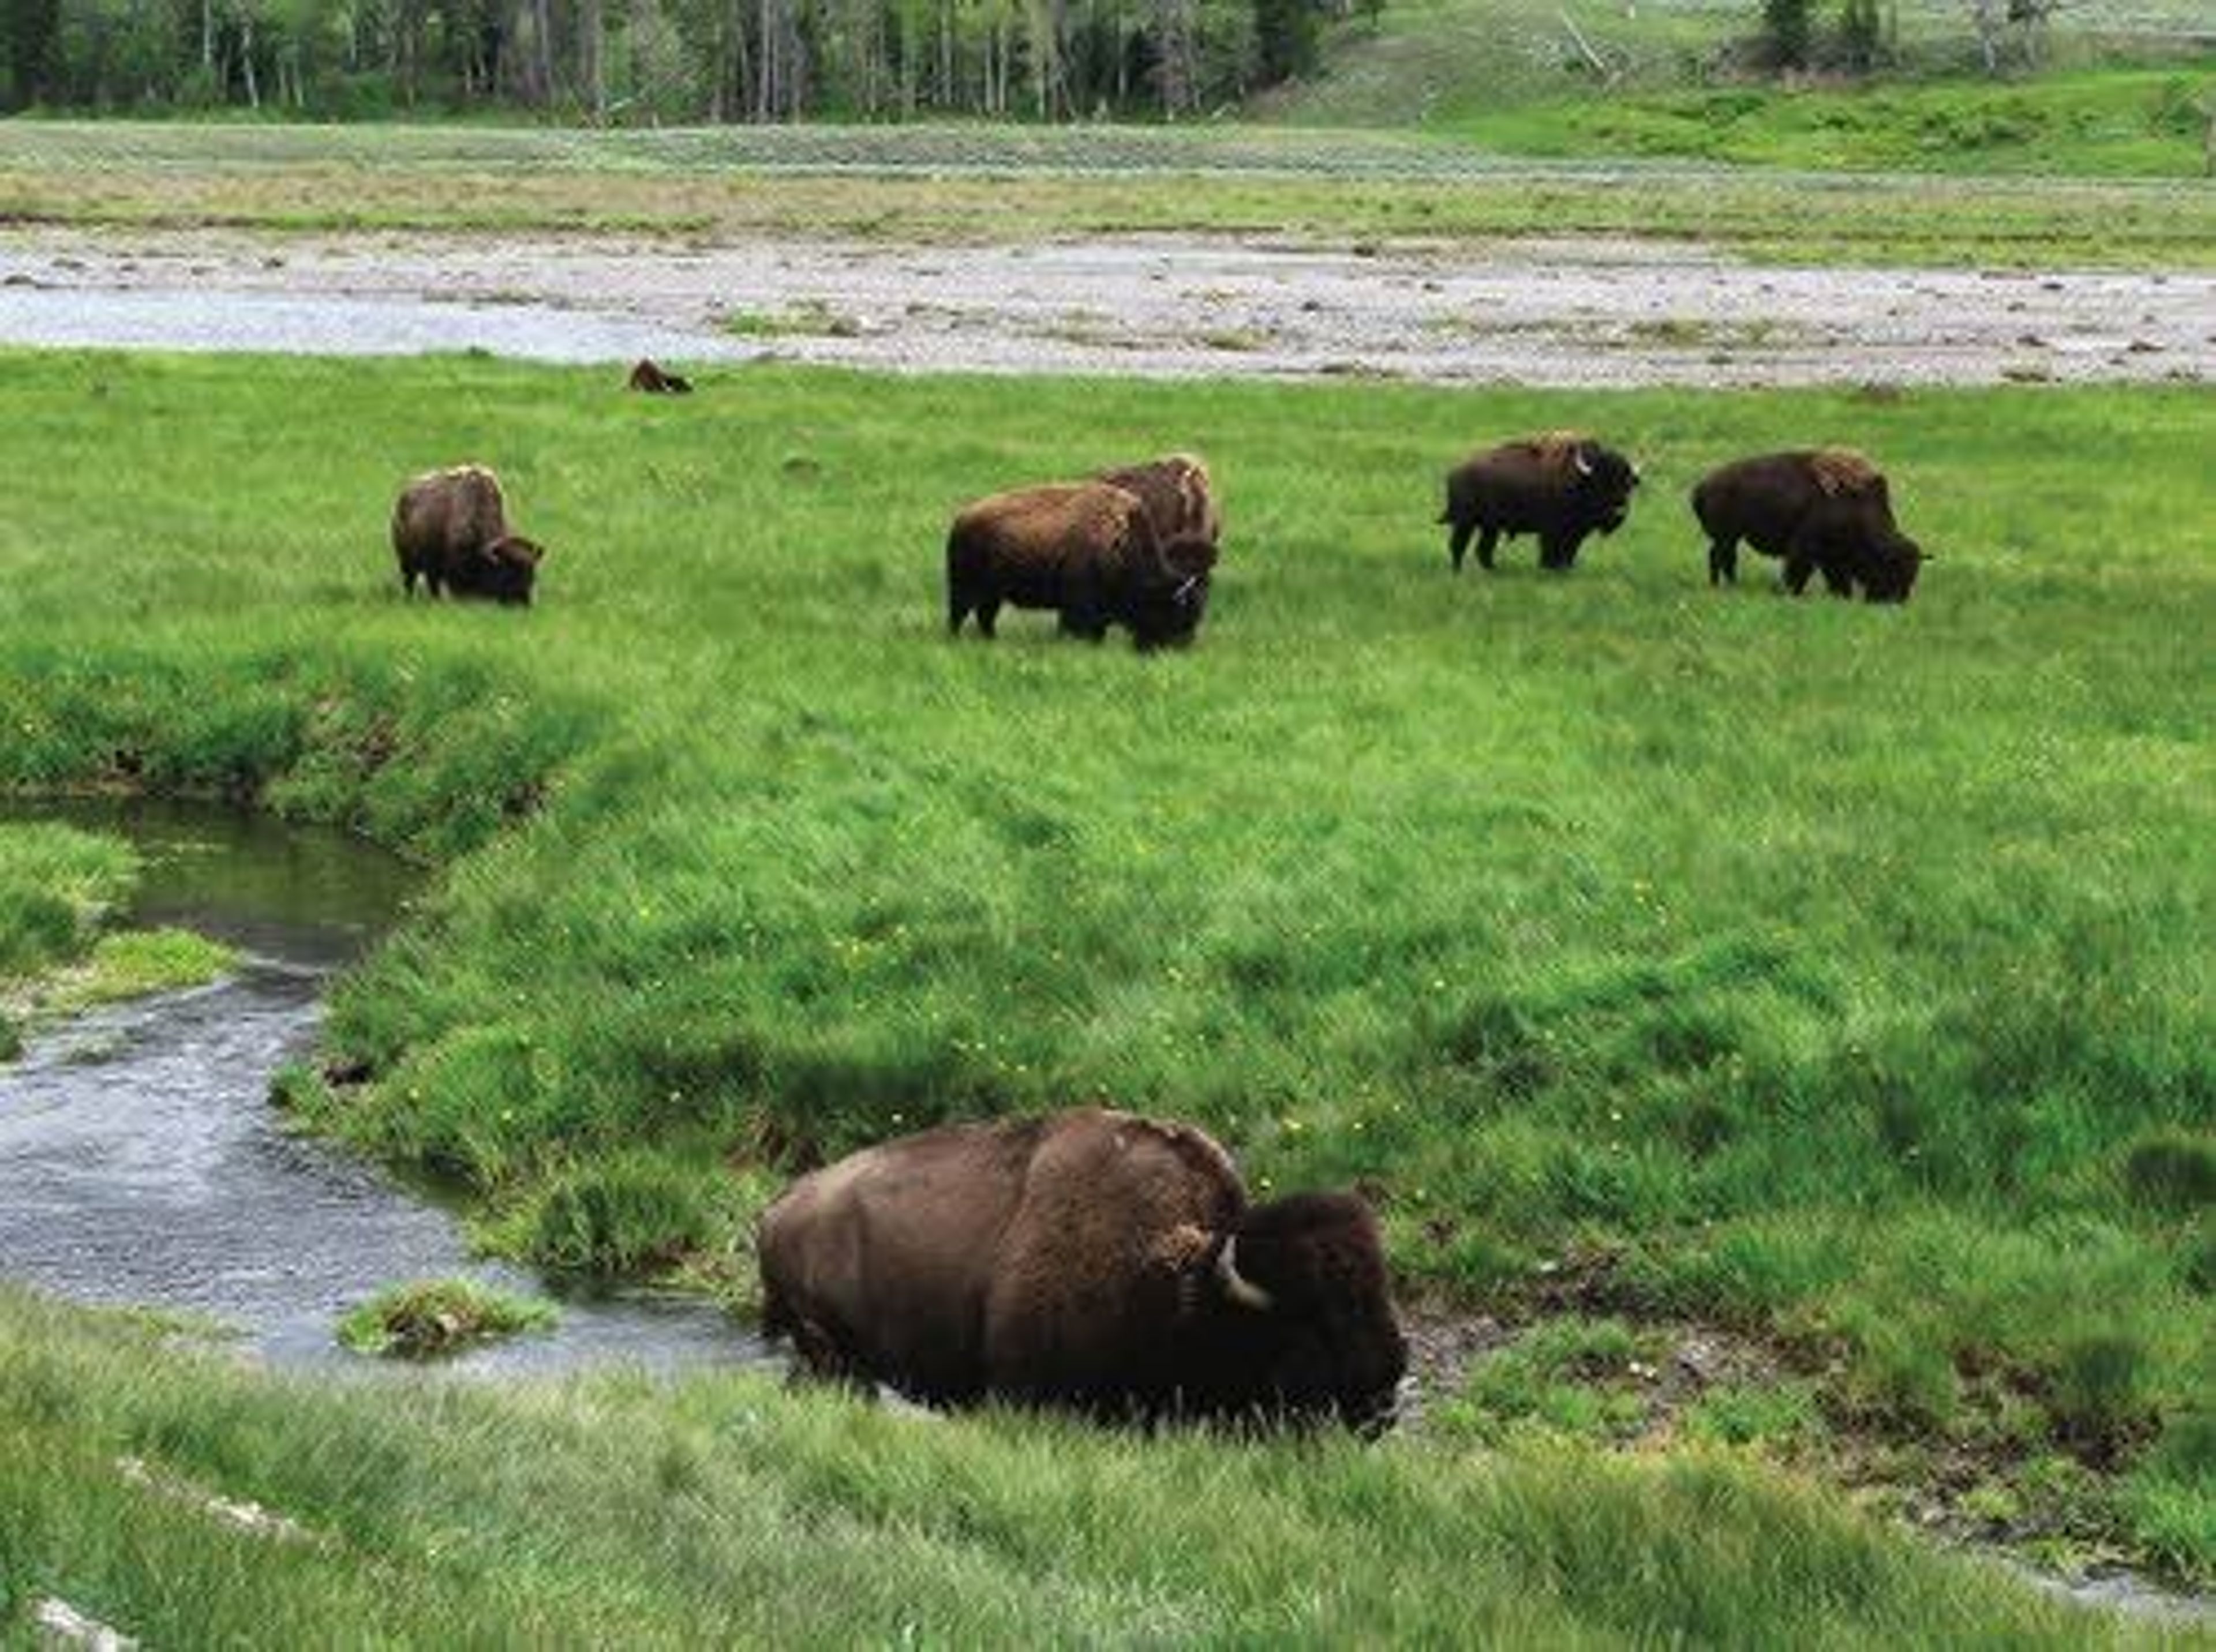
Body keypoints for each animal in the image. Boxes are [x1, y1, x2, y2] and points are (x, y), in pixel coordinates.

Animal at [390, 463, 545, 606]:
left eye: (532, 574)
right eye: (508, 573)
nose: (524, 603)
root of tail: (404, 497)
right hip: (407, 561)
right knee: (412, 581)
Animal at [762, 1107, 1409, 1426]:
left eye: (1381, 1291)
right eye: (1315, 1326)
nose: (1384, 1390)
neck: (1187, 1282)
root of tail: (776, 1210)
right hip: (830, 1353)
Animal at [944, 480, 1223, 646]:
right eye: (1176, 613)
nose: (1182, 647)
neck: (1122, 542)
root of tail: (962, 519)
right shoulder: (1080, 604)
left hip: (993, 593)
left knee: (985, 616)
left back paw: (992, 640)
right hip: (966, 587)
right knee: (959, 614)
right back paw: (957, 639)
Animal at [1436, 432, 1648, 571]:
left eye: (1628, 483)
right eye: (1601, 482)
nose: (1619, 511)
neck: (1580, 479)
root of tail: (1454, 473)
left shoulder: (1577, 533)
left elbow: (1569, 552)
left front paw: (1565, 569)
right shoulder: (1551, 531)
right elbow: (1550, 551)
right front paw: (1548, 569)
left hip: (1490, 527)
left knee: (1483, 550)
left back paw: (1493, 570)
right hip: (1465, 523)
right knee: (1458, 545)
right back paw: (1458, 571)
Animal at [1693, 447, 1923, 602]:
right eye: (1892, 568)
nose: (1895, 601)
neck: (1860, 506)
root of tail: (1702, 487)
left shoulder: (1833, 557)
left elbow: (1837, 578)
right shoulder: (1806, 550)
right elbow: (1799, 571)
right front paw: (1792, 594)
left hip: (1730, 538)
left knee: (1721, 558)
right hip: (1727, 537)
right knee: (1722, 558)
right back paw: (1726, 586)